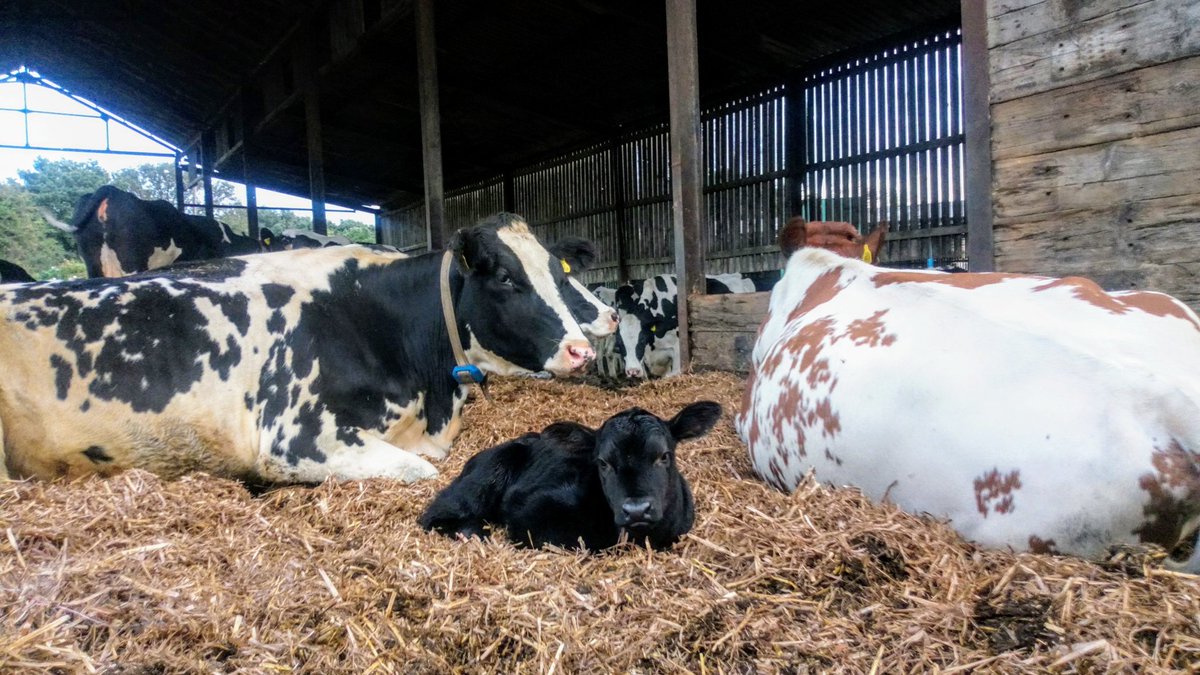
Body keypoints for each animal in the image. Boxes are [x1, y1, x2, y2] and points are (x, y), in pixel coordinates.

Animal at [419, 401, 722, 550]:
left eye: (664, 455)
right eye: (602, 462)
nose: (636, 510)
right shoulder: (528, 510)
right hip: (486, 476)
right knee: (435, 513)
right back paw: (472, 533)